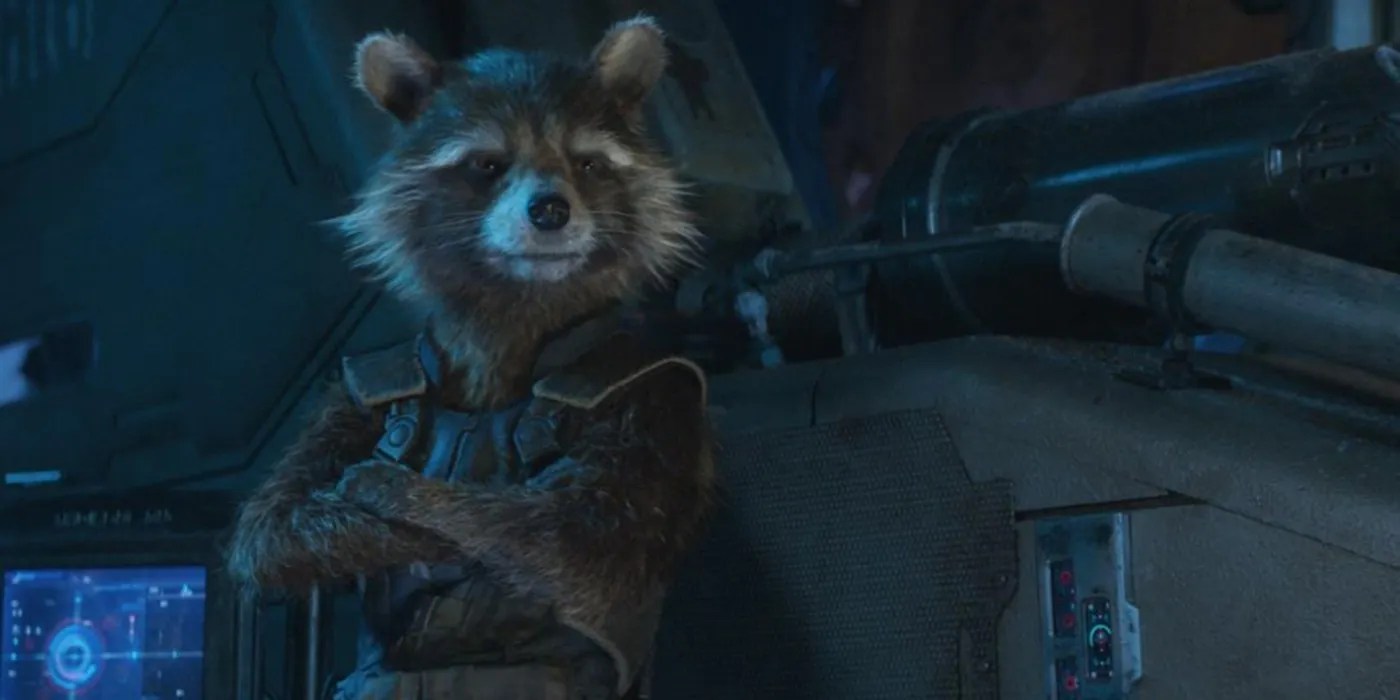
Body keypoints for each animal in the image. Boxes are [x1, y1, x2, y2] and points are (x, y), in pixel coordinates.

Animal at [226, 17, 715, 700]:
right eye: (487, 164)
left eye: (588, 163)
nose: (551, 209)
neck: (516, 312)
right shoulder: (357, 388)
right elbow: (273, 525)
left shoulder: (656, 395)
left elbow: (580, 537)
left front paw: (410, 498)